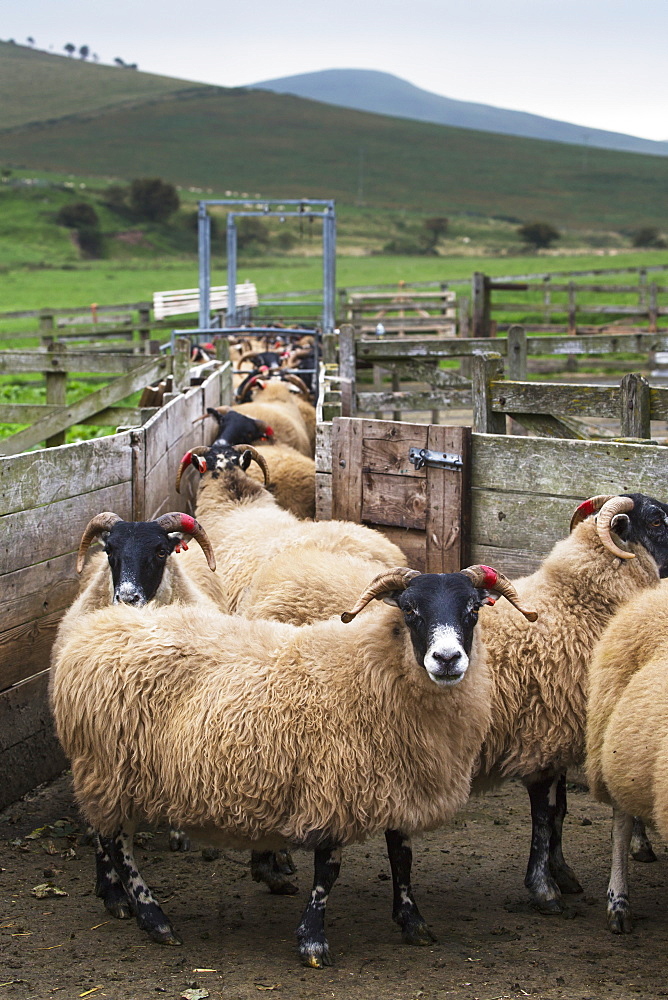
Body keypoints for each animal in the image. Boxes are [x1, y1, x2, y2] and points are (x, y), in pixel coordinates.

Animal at [49, 568, 536, 964]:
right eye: (411, 609)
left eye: (473, 609)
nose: (447, 659)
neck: (372, 669)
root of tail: (94, 628)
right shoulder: (334, 786)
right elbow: (328, 872)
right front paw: (313, 941)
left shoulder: (397, 780)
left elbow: (402, 857)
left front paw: (413, 923)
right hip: (110, 768)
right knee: (118, 843)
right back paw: (152, 918)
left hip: (112, 773)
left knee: (106, 834)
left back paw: (120, 900)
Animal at [470, 492, 668, 916]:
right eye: (656, 521)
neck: (574, 604)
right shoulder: (542, 737)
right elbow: (544, 817)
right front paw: (544, 889)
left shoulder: (559, 738)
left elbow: (560, 812)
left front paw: (562, 874)